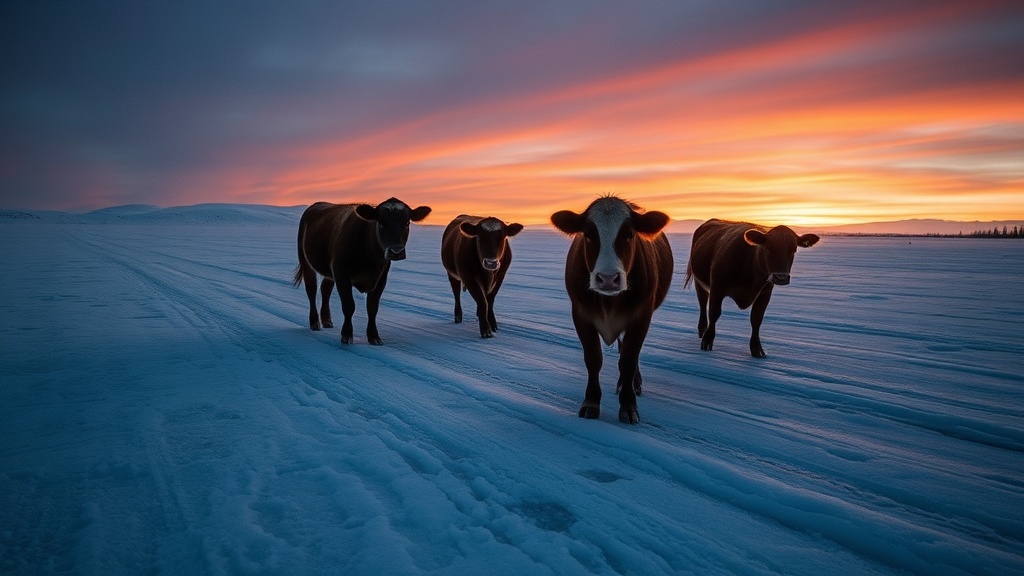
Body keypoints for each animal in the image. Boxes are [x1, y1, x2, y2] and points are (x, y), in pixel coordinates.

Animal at [293, 198, 431, 345]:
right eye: (381, 223)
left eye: (406, 223)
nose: (396, 251)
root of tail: (316, 204)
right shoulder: (341, 274)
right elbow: (349, 305)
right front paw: (346, 335)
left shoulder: (381, 278)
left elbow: (372, 307)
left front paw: (374, 336)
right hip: (305, 261)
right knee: (311, 290)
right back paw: (314, 323)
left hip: (329, 270)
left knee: (325, 290)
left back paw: (327, 321)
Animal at [550, 195, 673, 424]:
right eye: (588, 235)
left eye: (630, 234)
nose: (608, 278)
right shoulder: (581, 315)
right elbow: (593, 359)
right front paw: (591, 402)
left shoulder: (641, 317)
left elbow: (628, 360)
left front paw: (628, 405)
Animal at [683, 218, 819, 358]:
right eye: (768, 248)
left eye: (794, 249)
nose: (781, 277)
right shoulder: (717, 288)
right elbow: (714, 313)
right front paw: (707, 341)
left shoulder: (765, 294)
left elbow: (756, 319)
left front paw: (757, 349)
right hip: (699, 282)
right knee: (702, 302)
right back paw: (702, 329)